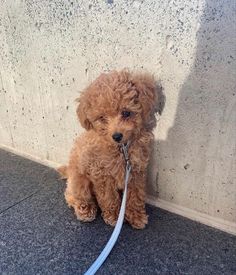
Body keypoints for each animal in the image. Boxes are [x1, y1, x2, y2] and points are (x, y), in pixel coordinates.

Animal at [58, 70, 159, 230]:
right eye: (102, 118)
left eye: (126, 113)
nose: (117, 136)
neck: (121, 149)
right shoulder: (102, 174)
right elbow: (108, 197)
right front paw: (114, 217)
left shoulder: (135, 171)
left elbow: (135, 196)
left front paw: (136, 216)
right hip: (80, 181)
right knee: (73, 196)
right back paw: (85, 210)